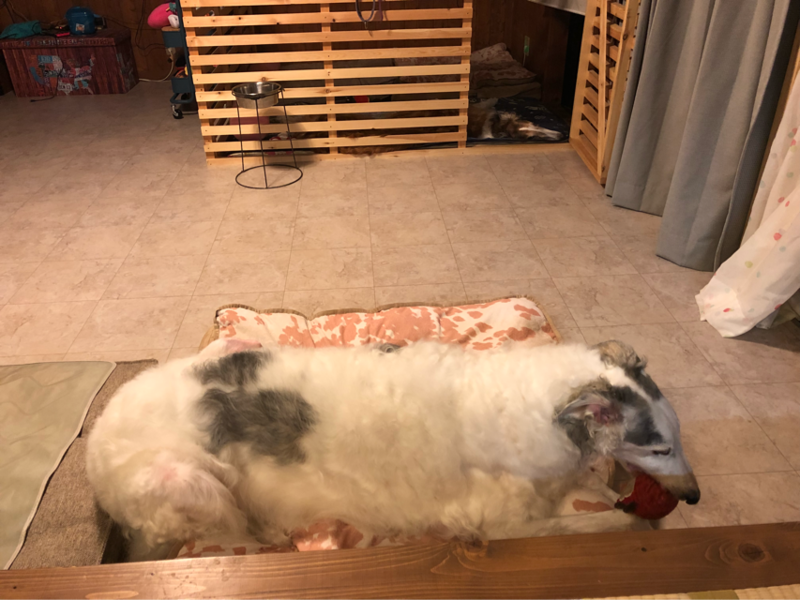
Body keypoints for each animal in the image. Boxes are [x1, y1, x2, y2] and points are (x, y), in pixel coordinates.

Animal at [86, 339, 699, 559]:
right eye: (660, 449)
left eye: (675, 442)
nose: (693, 496)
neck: (535, 407)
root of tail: (96, 434)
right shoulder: (502, 526)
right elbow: (613, 521)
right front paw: (636, 518)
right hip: (187, 482)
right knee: (233, 531)